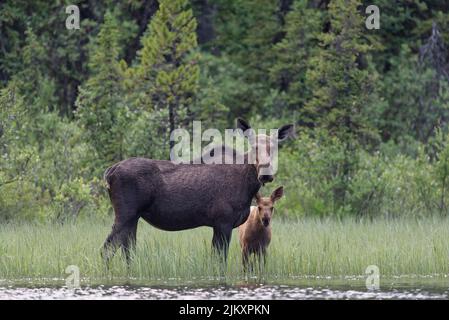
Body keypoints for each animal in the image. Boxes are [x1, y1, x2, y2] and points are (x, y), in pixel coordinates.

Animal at [100, 119, 294, 264]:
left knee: (127, 252)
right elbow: (220, 260)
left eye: (275, 147)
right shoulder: (223, 222)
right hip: (125, 214)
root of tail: (109, 173)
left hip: (134, 217)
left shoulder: (218, 225)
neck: (247, 187)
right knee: (106, 250)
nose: (266, 175)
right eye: (253, 147)